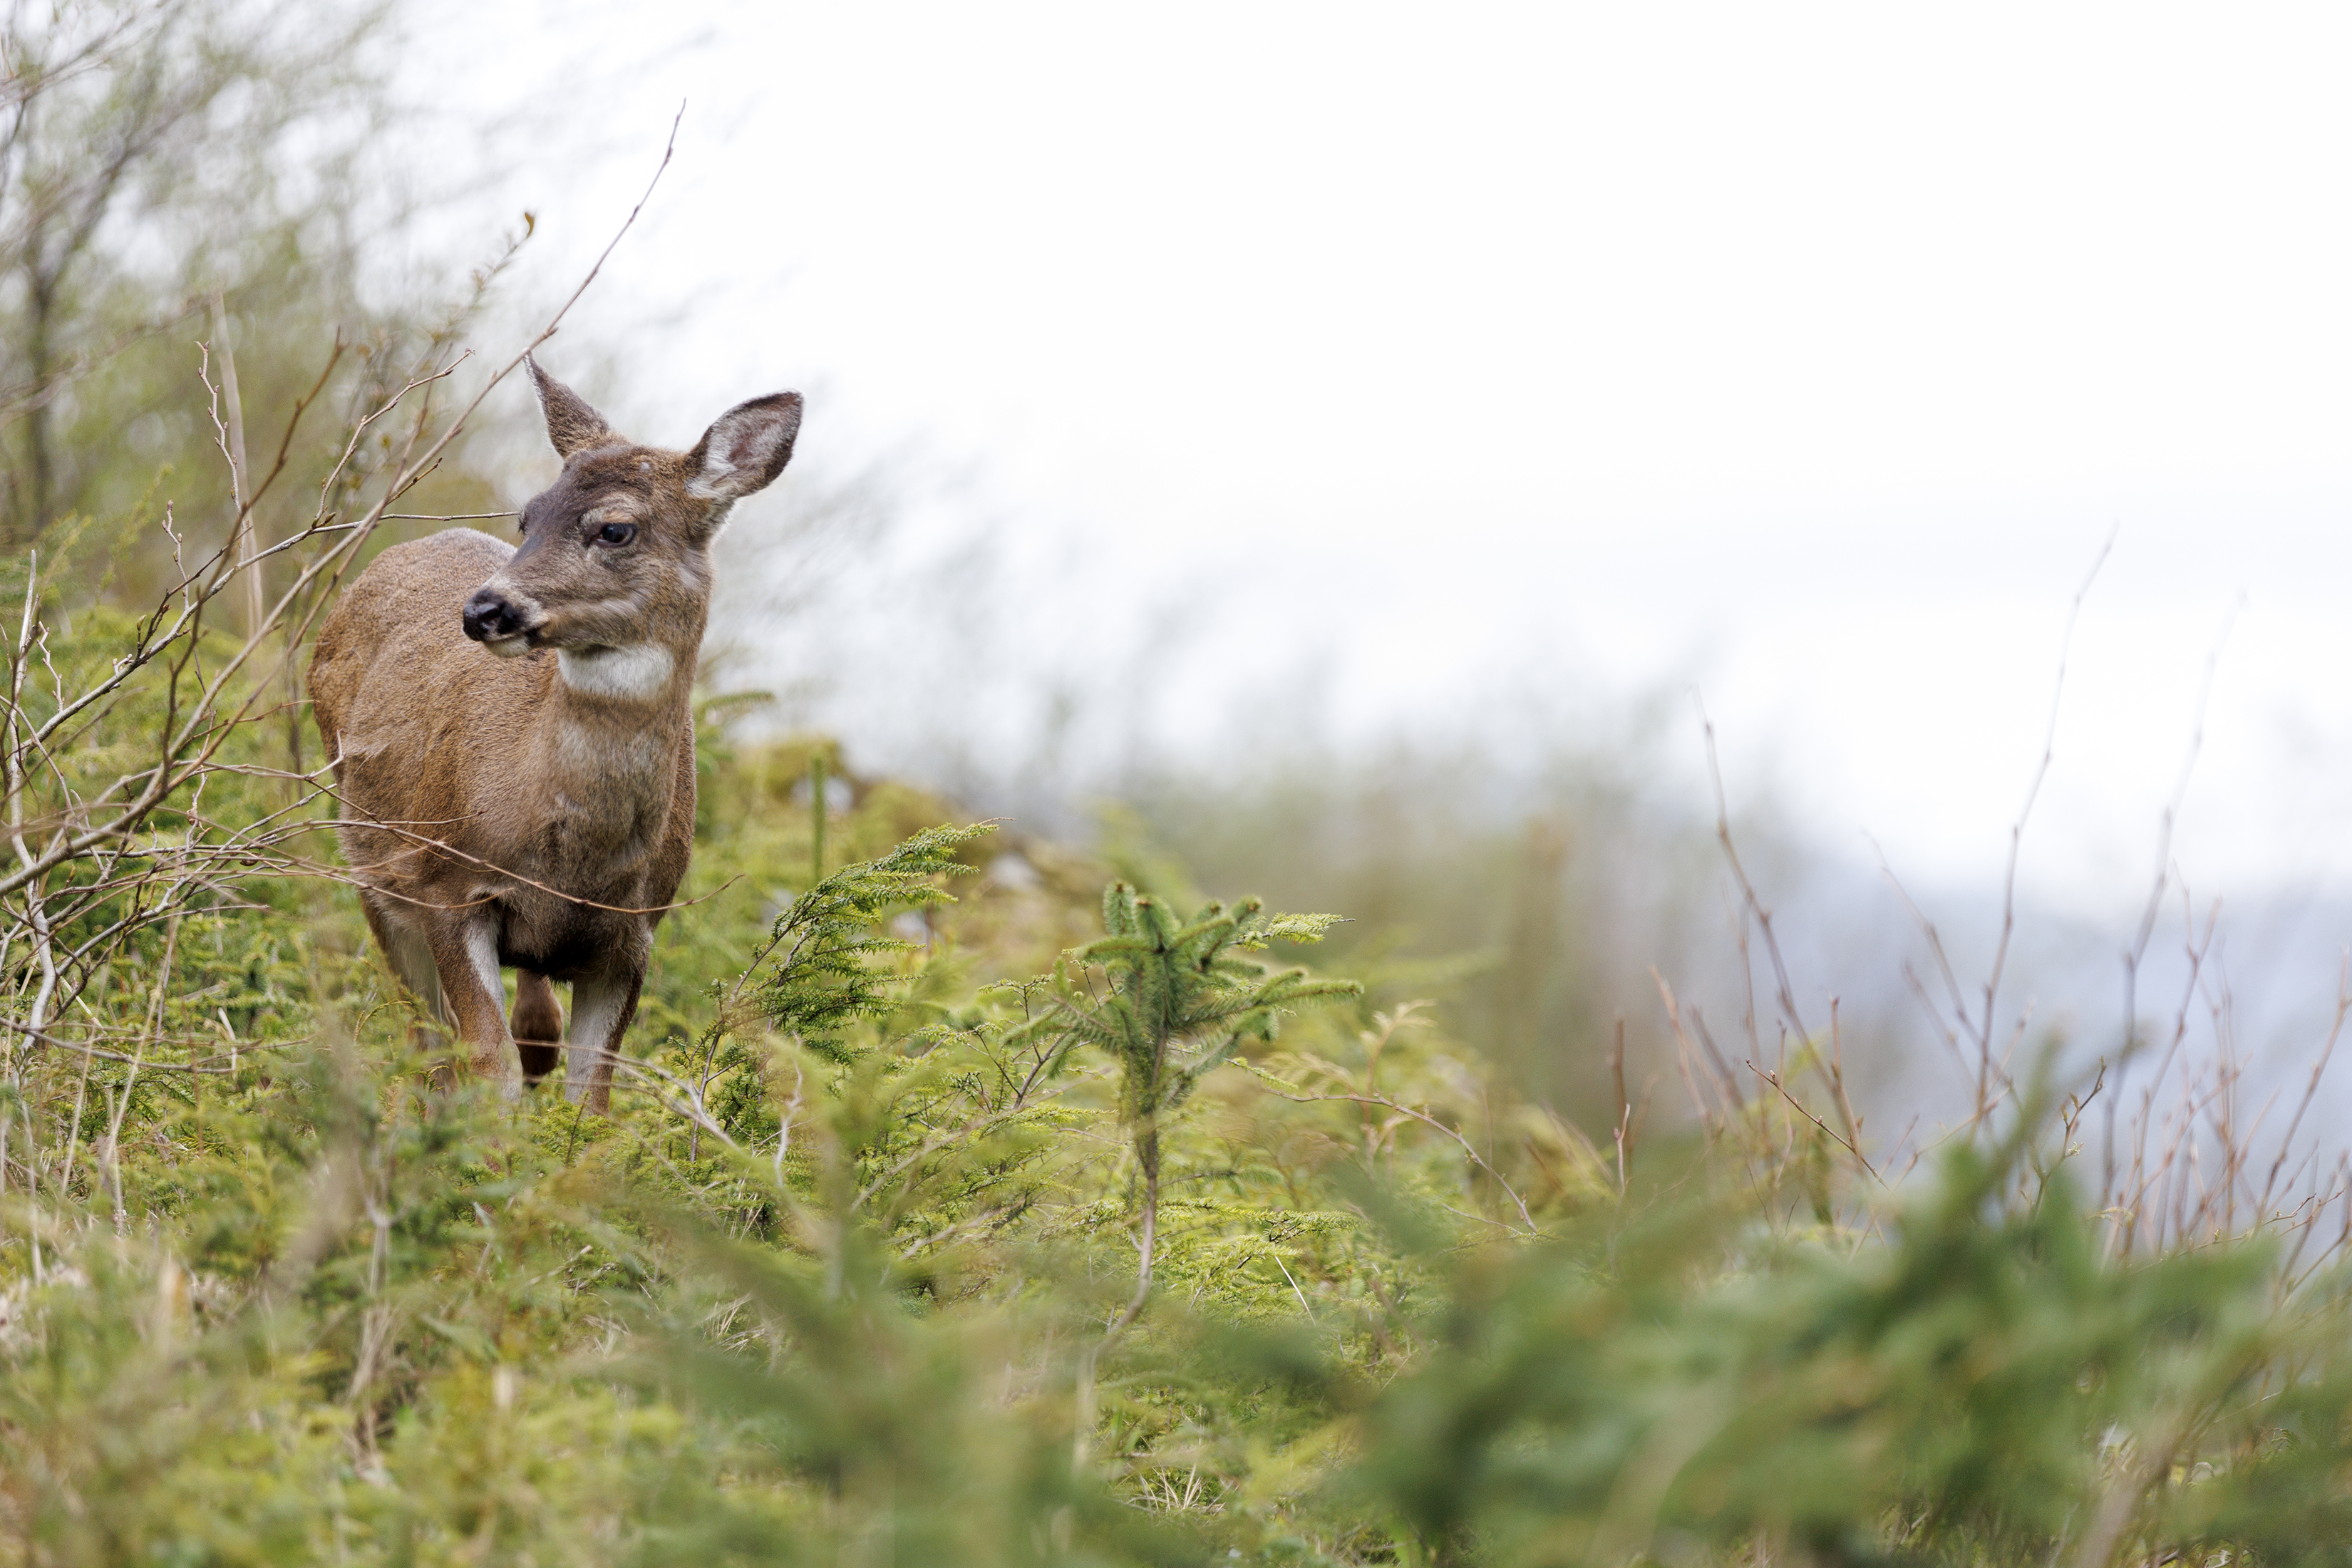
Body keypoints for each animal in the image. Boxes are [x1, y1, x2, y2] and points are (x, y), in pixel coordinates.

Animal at [308, 359, 801, 1113]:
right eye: (527, 516)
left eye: (616, 529)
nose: (485, 610)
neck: (573, 867)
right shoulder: (448, 885)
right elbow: (488, 1063)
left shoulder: (634, 935)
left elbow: (590, 1092)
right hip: (369, 859)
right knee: (424, 1035)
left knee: (531, 1021)